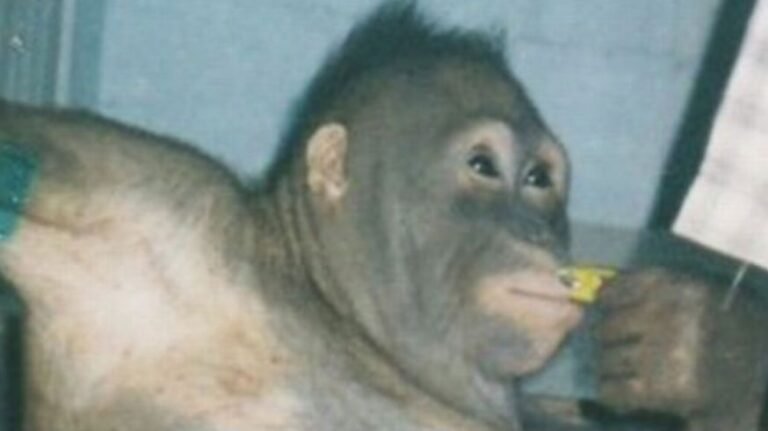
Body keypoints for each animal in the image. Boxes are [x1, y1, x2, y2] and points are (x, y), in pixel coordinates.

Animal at [0, 2, 765, 431]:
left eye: (539, 180)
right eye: (483, 166)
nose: (534, 228)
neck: (341, 318)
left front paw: (700, 351)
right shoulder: (155, 206)